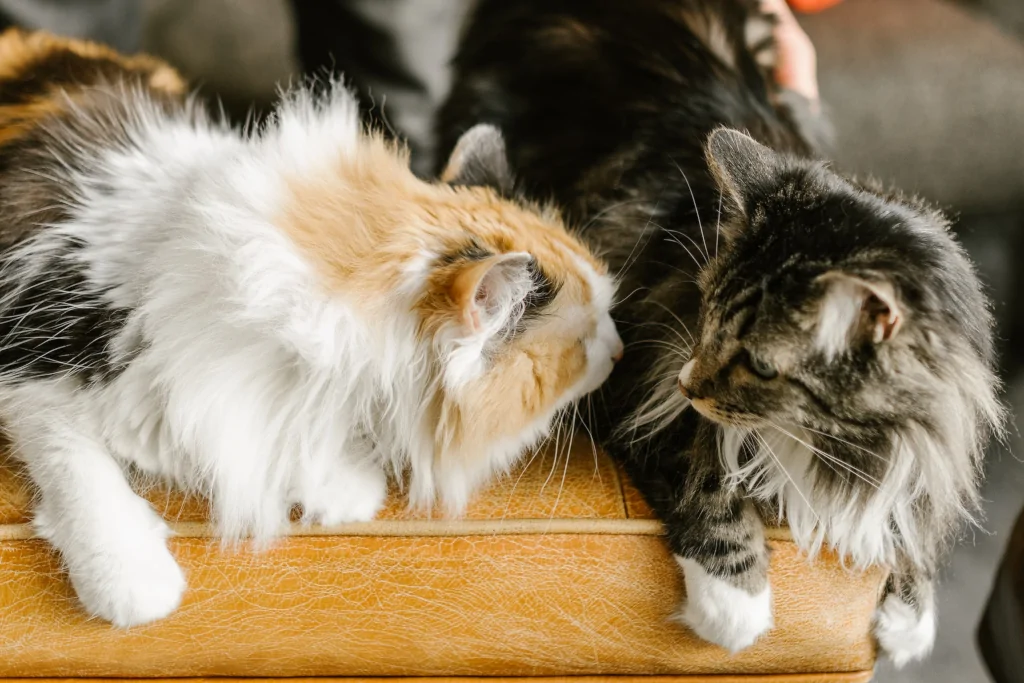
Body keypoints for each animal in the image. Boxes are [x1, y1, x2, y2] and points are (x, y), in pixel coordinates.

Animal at [0, 29, 618, 626]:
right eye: (583, 340)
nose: (618, 348)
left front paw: (338, 484)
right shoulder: (36, 359)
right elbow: (83, 471)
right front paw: (133, 582)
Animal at [440, 0, 999, 663]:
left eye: (760, 365)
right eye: (706, 311)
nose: (689, 383)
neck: (828, 440)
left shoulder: (932, 437)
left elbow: (910, 514)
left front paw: (911, 615)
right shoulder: (635, 370)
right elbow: (704, 474)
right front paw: (736, 603)